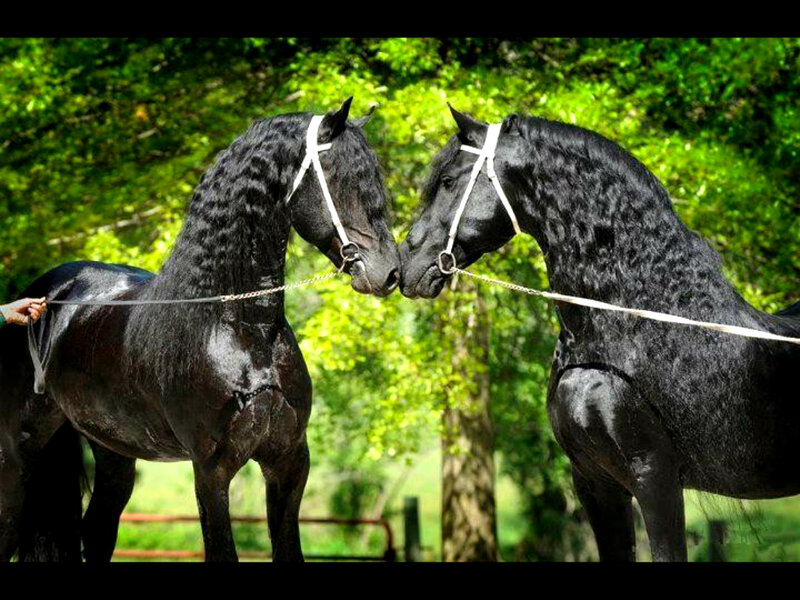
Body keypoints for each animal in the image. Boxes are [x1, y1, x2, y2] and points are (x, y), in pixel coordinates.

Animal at [0, 97, 401, 562]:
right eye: (339, 178)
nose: (389, 273)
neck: (244, 333)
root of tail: (43, 297)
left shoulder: (289, 463)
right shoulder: (212, 469)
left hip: (113, 452)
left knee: (96, 529)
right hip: (16, 457)